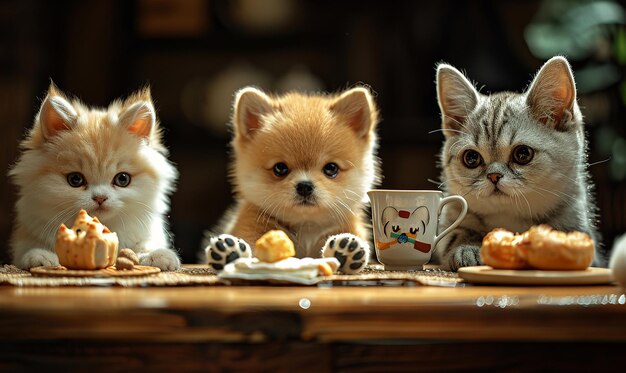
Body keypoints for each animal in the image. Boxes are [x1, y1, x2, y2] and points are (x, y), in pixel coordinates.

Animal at [9, 84, 180, 270]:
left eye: (122, 179)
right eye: (75, 180)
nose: (100, 198)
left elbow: (144, 245)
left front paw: (157, 255)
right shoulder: (29, 233)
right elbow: (32, 247)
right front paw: (40, 255)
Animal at [205, 85, 380, 272]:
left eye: (331, 168)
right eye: (280, 168)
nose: (304, 186)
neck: (306, 228)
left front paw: (346, 248)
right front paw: (231, 250)